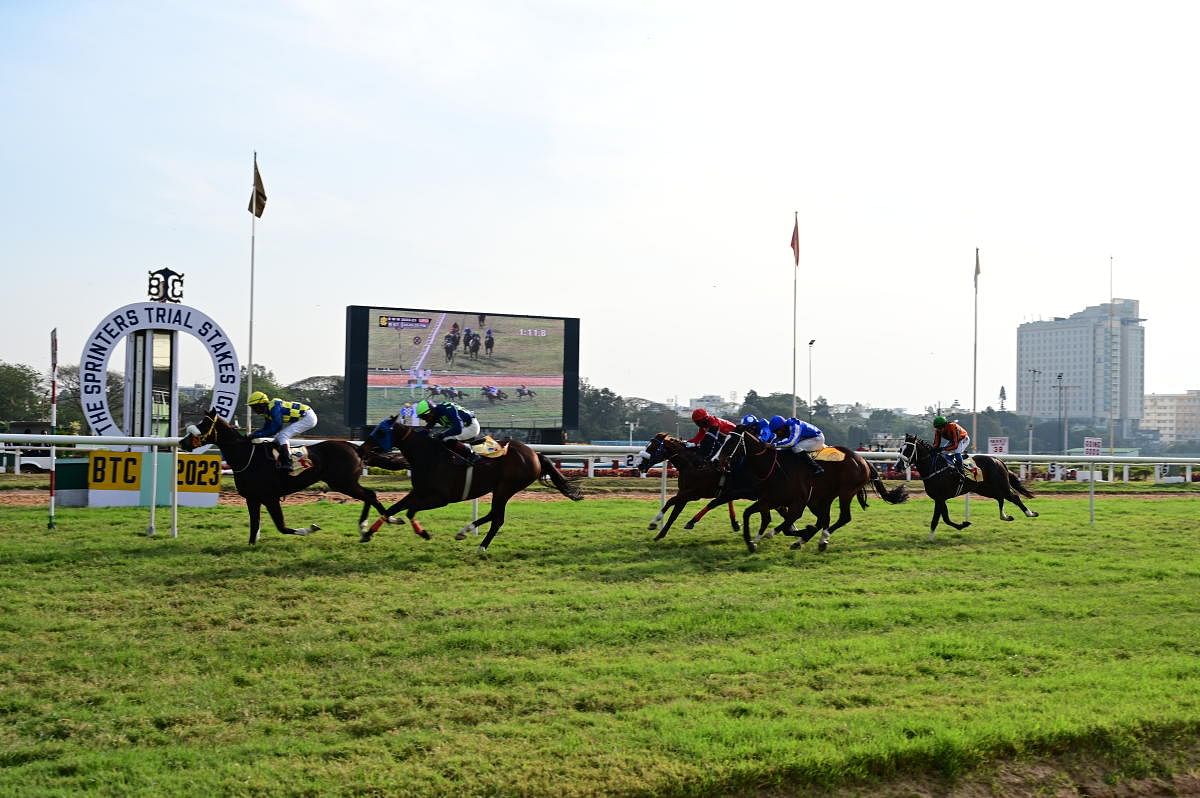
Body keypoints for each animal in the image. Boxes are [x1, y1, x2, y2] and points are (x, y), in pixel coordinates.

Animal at [180, 408, 391, 544]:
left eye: (202, 425)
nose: (182, 442)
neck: (247, 457)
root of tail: (355, 447)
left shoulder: (270, 497)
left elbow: (281, 526)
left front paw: (310, 529)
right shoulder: (252, 498)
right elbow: (254, 527)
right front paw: (252, 544)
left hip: (343, 483)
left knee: (370, 495)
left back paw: (383, 522)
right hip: (344, 483)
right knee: (369, 496)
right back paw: (365, 530)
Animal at [357, 412, 583, 552]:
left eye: (380, 432)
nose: (361, 449)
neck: (428, 455)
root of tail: (535, 454)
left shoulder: (441, 498)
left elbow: (409, 510)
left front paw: (422, 532)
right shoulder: (418, 492)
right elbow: (394, 508)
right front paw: (368, 533)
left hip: (505, 487)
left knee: (497, 517)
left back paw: (475, 540)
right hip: (501, 489)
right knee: (495, 516)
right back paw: (469, 536)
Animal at [700, 429, 902, 554]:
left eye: (732, 442)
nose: (714, 460)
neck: (773, 466)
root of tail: (862, 459)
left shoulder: (797, 502)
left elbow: (787, 525)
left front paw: (795, 532)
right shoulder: (770, 499)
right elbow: (748, 513)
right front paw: (751, 543)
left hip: (845, 492)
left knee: (842, 517)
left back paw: (821, 540)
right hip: (823, 497)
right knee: (825, 519)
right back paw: (810, 540)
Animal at [897, 432, 1036, 537]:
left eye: (908, 450)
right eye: (900, 449)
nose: (897, 466)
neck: (934, 467)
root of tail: (999, 460)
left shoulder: (941, 498)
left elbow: (943, 519)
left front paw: (963, 525)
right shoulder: (938, 498)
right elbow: (940, 519)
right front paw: (931, 537)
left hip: (1001, 485)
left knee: (1014, 497)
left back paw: (1030, 513)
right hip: (985, 489)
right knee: (1000, 498)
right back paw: (1005, 516)